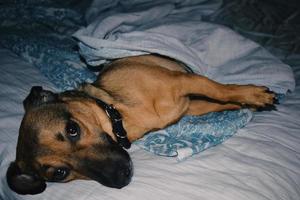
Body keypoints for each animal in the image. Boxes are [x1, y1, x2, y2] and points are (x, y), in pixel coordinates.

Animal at [5, 54, 276, 194]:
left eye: (72, 129)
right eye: (60, 173)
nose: (121, 178)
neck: (119, 114)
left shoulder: (184, 82)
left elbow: (221, 90)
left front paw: (253, 95)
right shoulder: (190, 103)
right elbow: (221, 100)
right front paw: (249, 101)